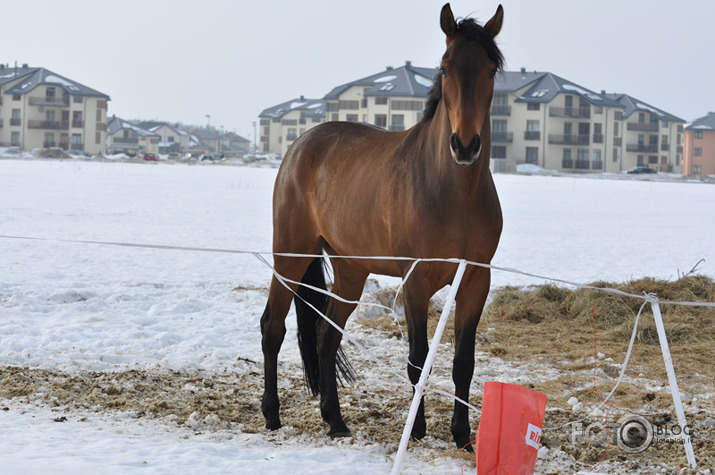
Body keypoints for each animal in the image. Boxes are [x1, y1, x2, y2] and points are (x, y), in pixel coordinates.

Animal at [262, 2, 504, 450]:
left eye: (491, 69)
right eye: (445, 68)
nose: (464, 146)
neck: (454, 191)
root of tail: (301, 144)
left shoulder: (476, 279)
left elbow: (463, 362)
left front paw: (463, 436)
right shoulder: (416, 281)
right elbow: (418, 361)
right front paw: (418, 430)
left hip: (350, 270)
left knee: (326, 336)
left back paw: (335, 420)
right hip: (291, 253)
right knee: (273, 327)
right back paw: (271, 415)